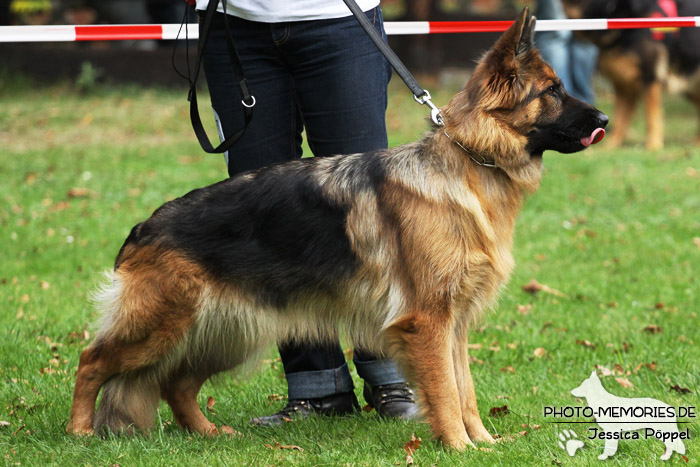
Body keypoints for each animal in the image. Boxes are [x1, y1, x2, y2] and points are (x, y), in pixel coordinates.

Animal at [67, 9, 608, 450]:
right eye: (553, 91)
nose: (604, 117)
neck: (468, 160)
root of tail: (144, 226)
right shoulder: (429, 322)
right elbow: (446, 392)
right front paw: (458, 447)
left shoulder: (453, 323)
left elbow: (465, 390)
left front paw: (483, 444)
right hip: (162, 325)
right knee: (92, 360)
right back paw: (79, 432)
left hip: (226, 331)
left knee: (174, 384)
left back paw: (206, 433)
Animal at [564, 0, 700, 150]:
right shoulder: (623, 85)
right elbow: (620, 118)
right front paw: (610, 147)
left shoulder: (649, 78)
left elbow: (651, 117)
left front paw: (652, 147)